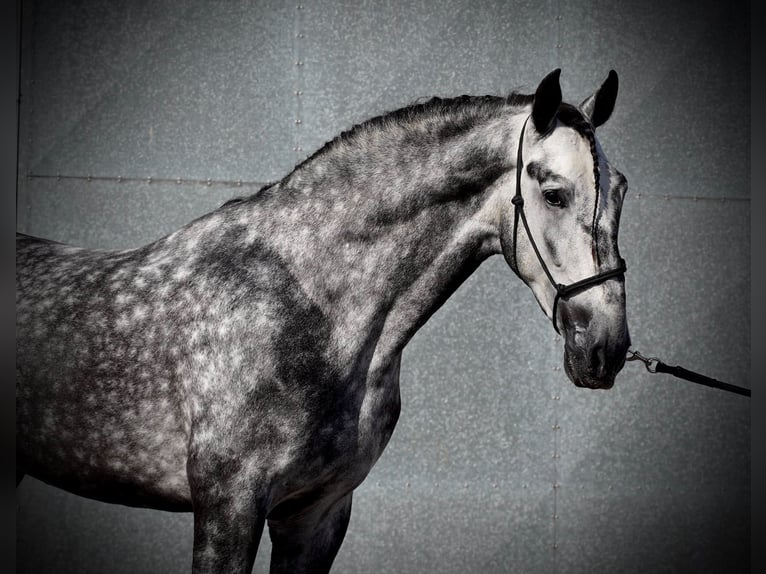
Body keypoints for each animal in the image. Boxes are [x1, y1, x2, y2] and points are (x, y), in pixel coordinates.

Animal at [16, 69, 630, 573]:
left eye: (621, 189)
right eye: (553, 193)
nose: (606, 348)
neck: (311, 307)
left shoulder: (318, 515)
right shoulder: (228, 509)